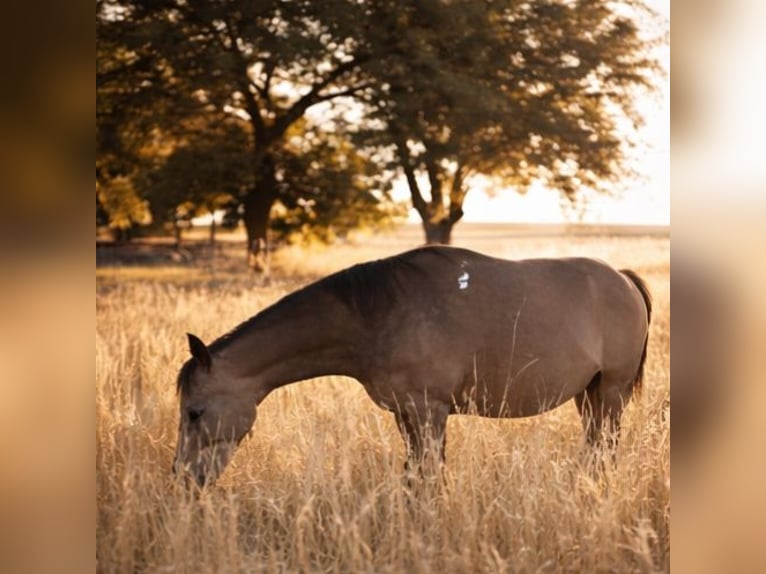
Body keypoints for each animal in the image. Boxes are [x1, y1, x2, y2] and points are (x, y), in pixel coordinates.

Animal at [172, 245, 651, 486]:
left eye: (195, 412)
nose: (183, 478)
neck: (377, 315)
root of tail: (623, 279)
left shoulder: (429, 411)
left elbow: (428, 477)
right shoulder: (406, 414)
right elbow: (414, 476)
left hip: (611, 391)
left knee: (605, 448)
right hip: (588, 394)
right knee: (595, 448)